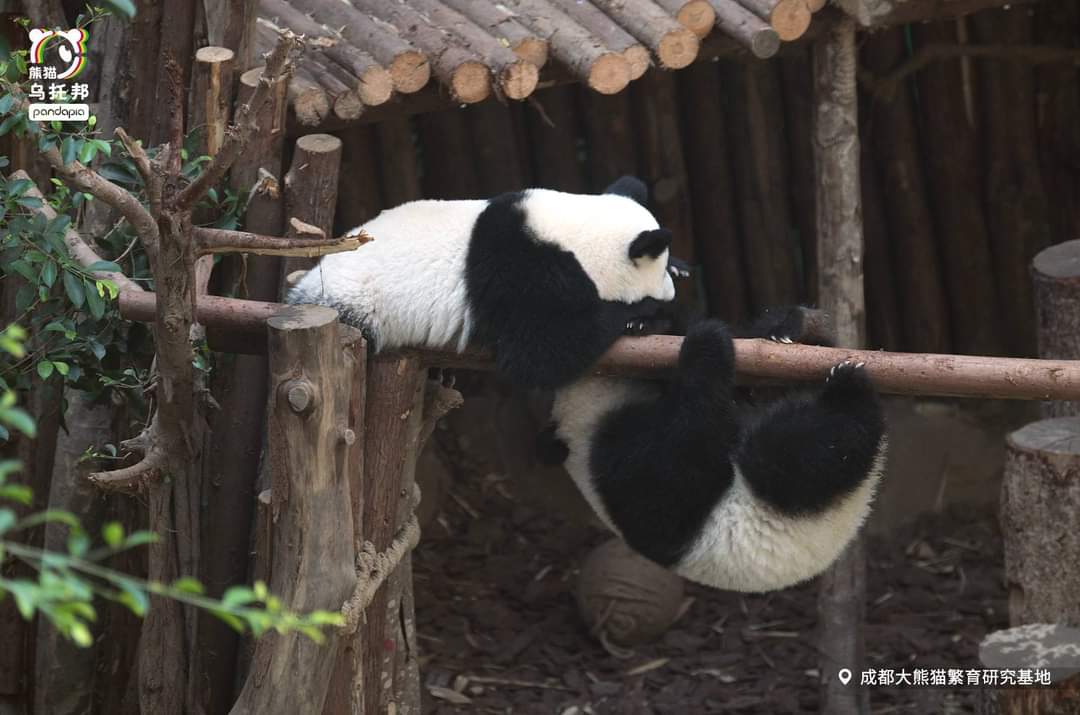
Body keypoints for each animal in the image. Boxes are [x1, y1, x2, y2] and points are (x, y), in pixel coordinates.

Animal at [288, 177, 684, 390]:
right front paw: (640, 314)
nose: (671, 292)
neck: (574, 238)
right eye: (658, 267)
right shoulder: (524, 273)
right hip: (356, 307)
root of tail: (303, 292)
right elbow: (540, 355)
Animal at [540, 310, 888, 592]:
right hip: (790, 495)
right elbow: (674, 470)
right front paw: (706, 343)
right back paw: (848, 389)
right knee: (792, 452)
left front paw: (646, 324)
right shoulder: (612, 462)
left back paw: (792, 328)